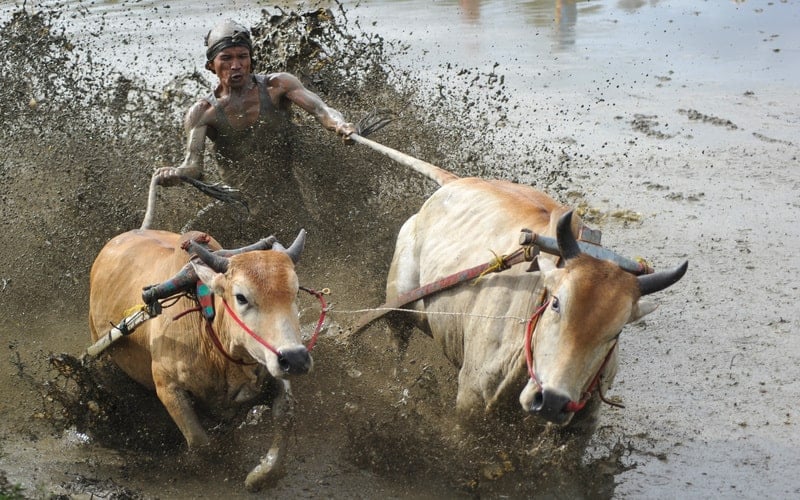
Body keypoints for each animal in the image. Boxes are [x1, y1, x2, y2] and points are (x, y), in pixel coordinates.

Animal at [90, 229, 310, 490]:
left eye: (295, 292)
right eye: (241, 297)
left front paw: (261, 475)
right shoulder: (167, 386)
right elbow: (201, 443)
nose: (295, 358)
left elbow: (284, 414)